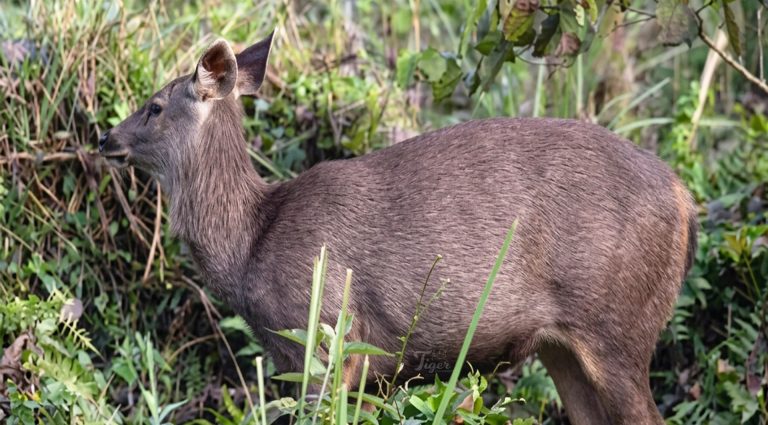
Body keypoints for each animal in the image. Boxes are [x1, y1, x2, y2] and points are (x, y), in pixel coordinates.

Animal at [98, 32, 698, 425]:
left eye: (154, 106)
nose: (106, 137)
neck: (251, 243)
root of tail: (683, 197)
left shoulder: (328, 334)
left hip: (618, 324)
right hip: (566, 346)